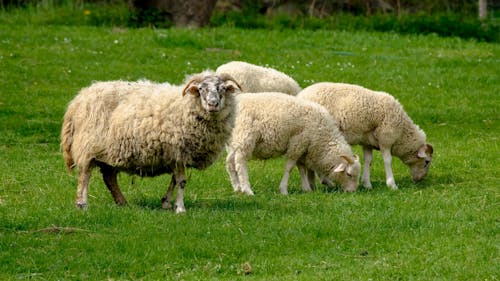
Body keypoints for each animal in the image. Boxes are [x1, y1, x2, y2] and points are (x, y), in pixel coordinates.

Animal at [61, 71, 241, 212]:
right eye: (201, 89)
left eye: (222, 89)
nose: (212, 103)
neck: (186, 105)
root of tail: (78, 99)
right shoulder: (178, 150)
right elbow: (181, 181)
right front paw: (180, 208)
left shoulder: (176, 155)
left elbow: (175, 180)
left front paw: (167, 202)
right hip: (88, 145)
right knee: (85, 174)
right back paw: (82, 204)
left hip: (110, 151)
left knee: (109, 177)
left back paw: (122, 202)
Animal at [226, 92, 360, 195]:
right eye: (348, 174)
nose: (352, 192)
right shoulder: (298, 142)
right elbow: (289, 167)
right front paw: (284, 190)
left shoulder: (304, 148)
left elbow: (301, 168)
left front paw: (306, 188)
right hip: (245, 135)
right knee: (240, 162)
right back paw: (247, 190)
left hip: (234, 140)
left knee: (230, 163)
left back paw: (237, 187)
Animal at [296, 82, 434, 189]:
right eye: (426, 162)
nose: (420, 180)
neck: (402, 133)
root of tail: (300, 94)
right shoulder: (386, 138)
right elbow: (387, 160)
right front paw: (392, 184)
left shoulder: (367, 141)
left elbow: (368, 160)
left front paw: (367, 183)